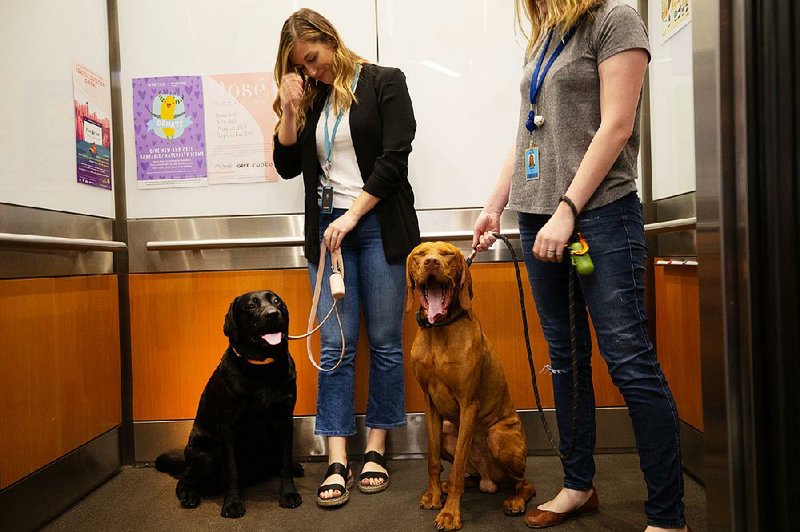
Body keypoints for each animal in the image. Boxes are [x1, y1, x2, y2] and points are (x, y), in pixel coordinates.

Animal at [155, 288, 304, 516]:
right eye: (251, 306)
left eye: (276, 301)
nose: (272, 314)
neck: (262, 369)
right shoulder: (227, 428)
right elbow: (231, 471)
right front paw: (232, 503)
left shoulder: (285, 420)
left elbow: (285, 463)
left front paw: (288, 494)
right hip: (205, 456)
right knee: (184, 480)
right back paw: (189, 495)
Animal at [406, 243, 536, 528]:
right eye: (420, 254)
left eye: (447, 254)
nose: (431, 263)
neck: (438, 331)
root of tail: (490, 480)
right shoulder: (430, 405)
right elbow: (433, 459)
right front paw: (433, 495)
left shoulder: (469, 405)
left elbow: (456, 469)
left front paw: (450, 513)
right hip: (447, 430)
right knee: (471, 476)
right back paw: (446, 486)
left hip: (498, 436)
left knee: (524, 483)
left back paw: (516, 501)